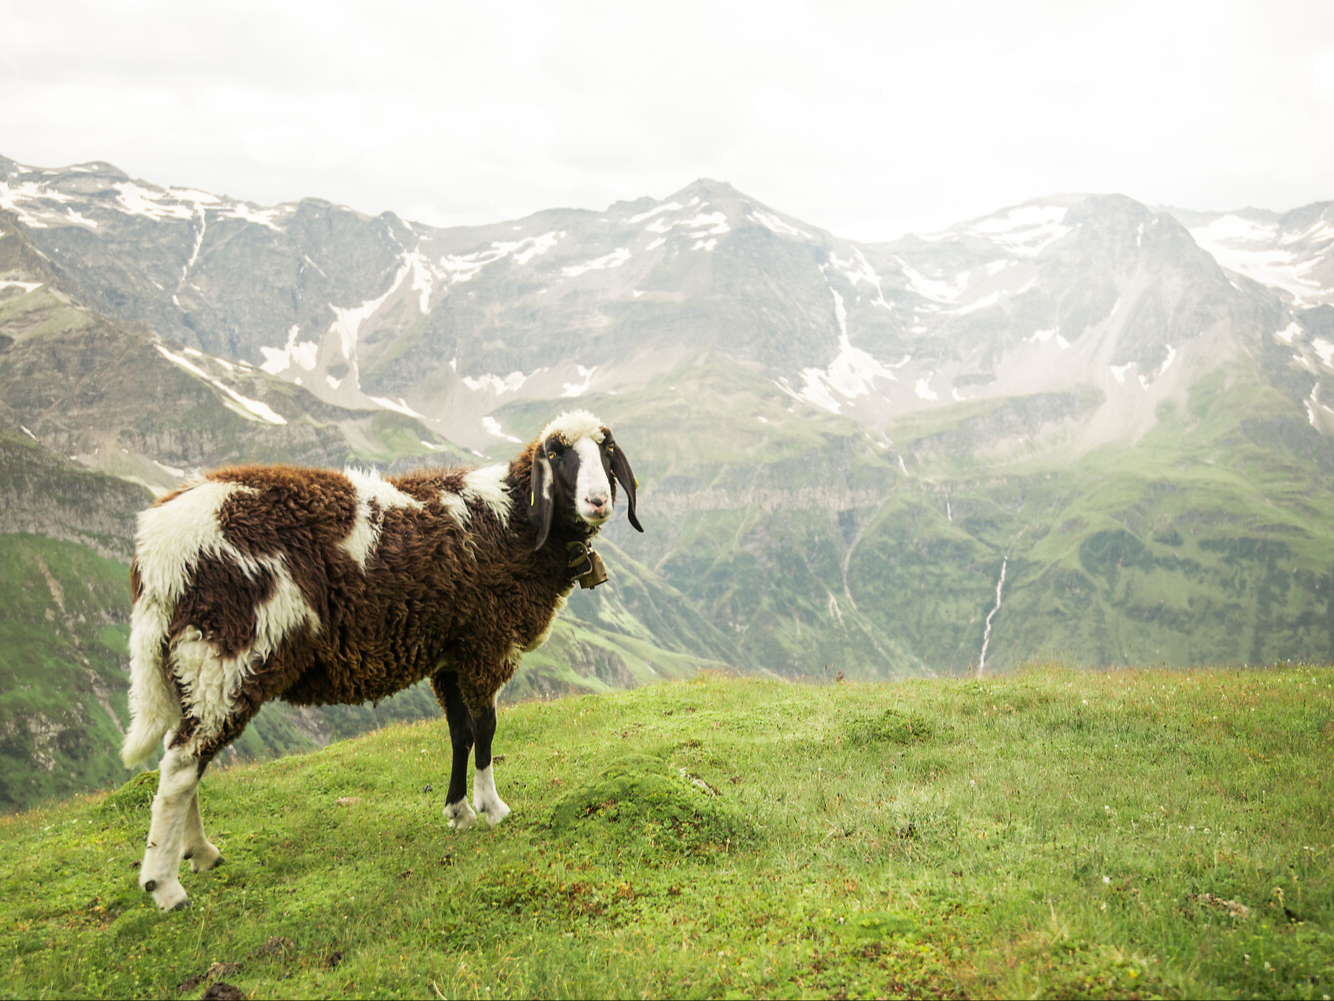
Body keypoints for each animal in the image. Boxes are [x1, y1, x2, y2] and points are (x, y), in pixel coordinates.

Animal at [119, 409, 641, 910]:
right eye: (556, 454)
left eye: (606, 449)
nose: (598, 501)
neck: (514, 522)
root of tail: (155, 553)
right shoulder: (484, 645)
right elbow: (486, 729)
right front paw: (492, 807)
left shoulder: (448, 654)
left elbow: (460, 733)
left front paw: (458, 812)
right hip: (226, 652)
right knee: (181, 766)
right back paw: (165, 885)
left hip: (194, 665)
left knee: (186, 759)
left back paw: (200, 852)